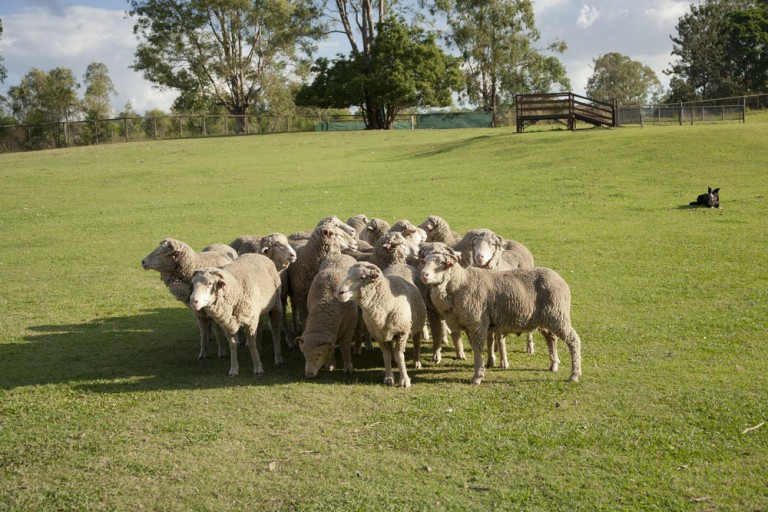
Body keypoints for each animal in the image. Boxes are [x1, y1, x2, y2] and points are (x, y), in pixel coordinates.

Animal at [420, 248, 582, 385]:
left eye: (442, 263)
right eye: (425, 261)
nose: (424, 275)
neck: (460, 284)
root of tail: (560, 279)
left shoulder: (477, 324)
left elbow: (478, 349)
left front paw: (477, 376)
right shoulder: (470, 325)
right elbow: (477, 348)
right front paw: (481, 369)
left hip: (558, 315)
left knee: (573, 340)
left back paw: (574, 374)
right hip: (546, 319)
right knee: (551, 338)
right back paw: (553, 365)